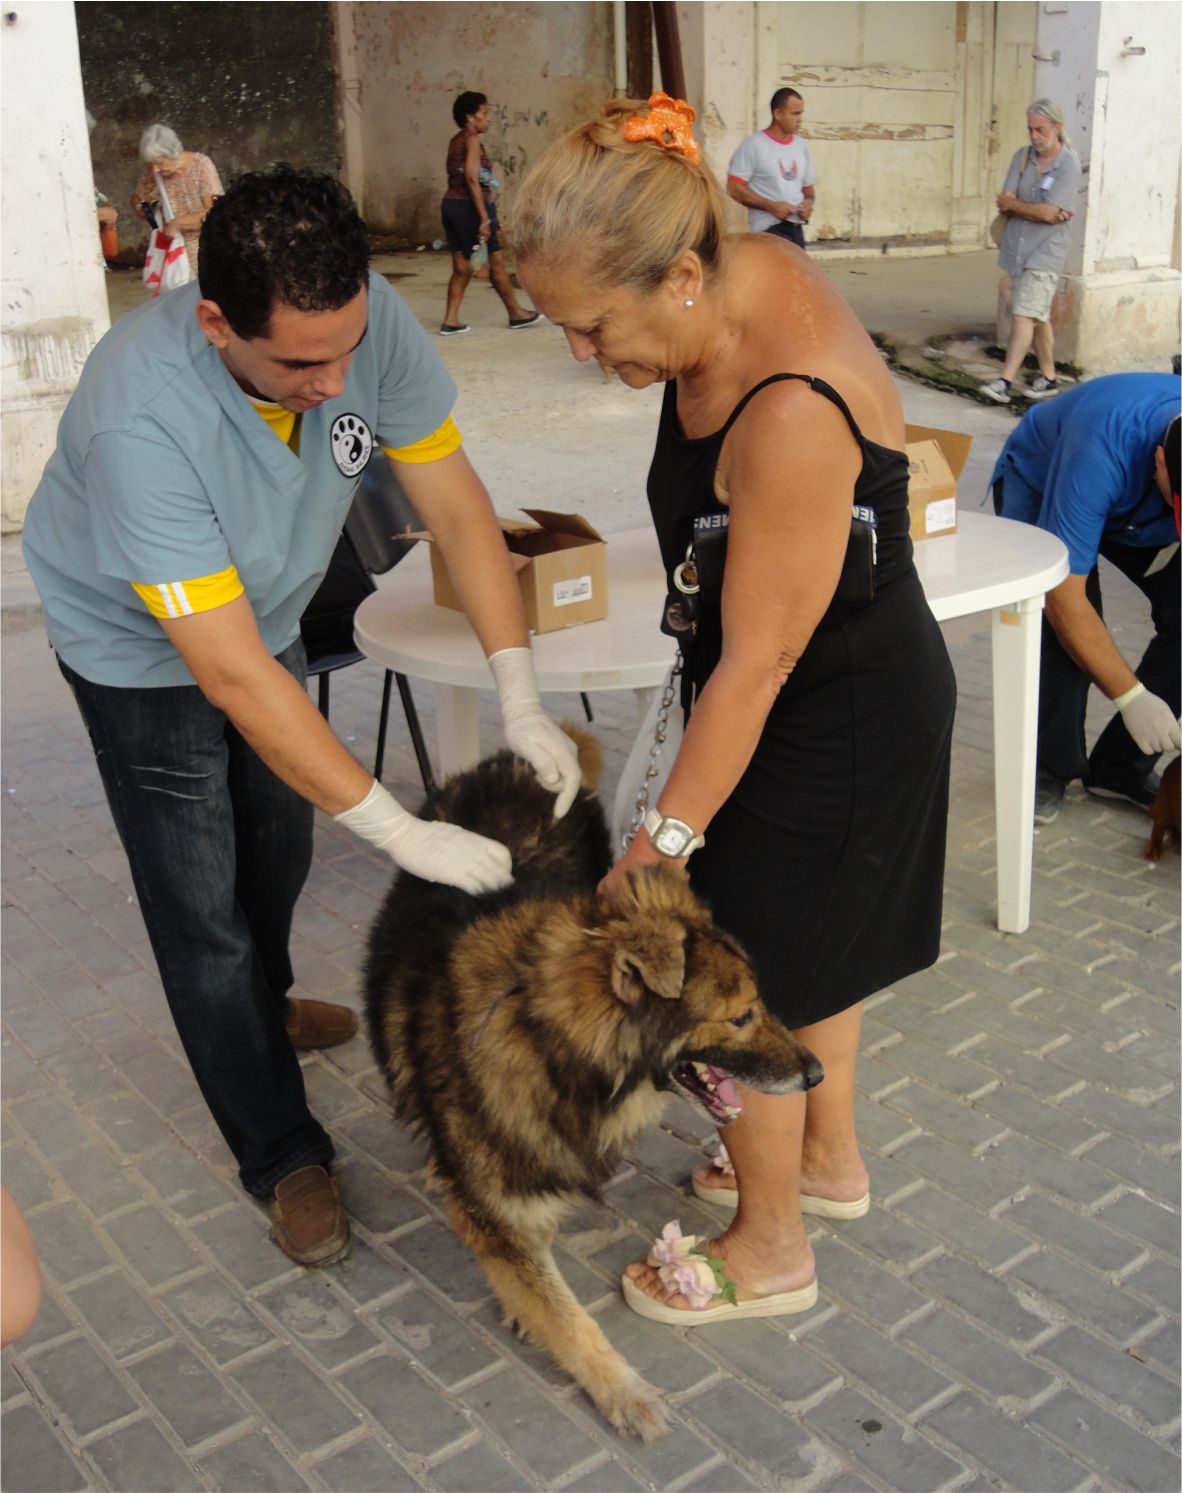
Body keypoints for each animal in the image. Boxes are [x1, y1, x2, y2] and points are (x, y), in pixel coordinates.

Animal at [362, 731, 823, 1433]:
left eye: (758, 1006)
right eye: (741, 1017)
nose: (817, 1073)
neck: (551, 1047)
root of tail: (514, 761)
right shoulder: (495, 1205)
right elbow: (567, 1316)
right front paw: (623, 1391)